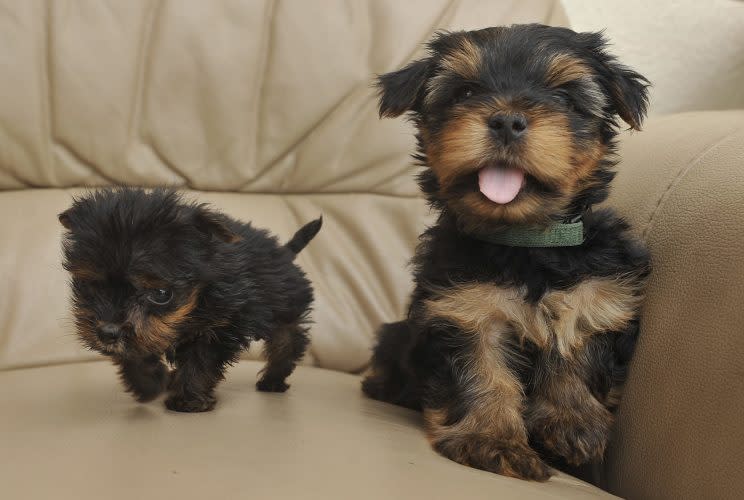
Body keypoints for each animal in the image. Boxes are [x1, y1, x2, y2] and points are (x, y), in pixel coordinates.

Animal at [59, 189, 322, 412]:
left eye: (160, 293)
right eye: (90, 285)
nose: (107, 333)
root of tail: (285, 252)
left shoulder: (222, 325)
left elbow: (200, 360)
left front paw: (189, 400)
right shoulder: (143, 333)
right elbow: (137, 349)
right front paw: (147, 384)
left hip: (283, 309)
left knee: (288, 341)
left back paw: (273, 380)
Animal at [362, 24, 652, 480]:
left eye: (564, 97)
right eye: (464, 92)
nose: (507, 121)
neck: (525, 240)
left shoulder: (595, 296)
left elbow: (577, 349)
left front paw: (572, 421)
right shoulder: (466, 309)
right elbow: (485, 369)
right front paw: (491, 439)